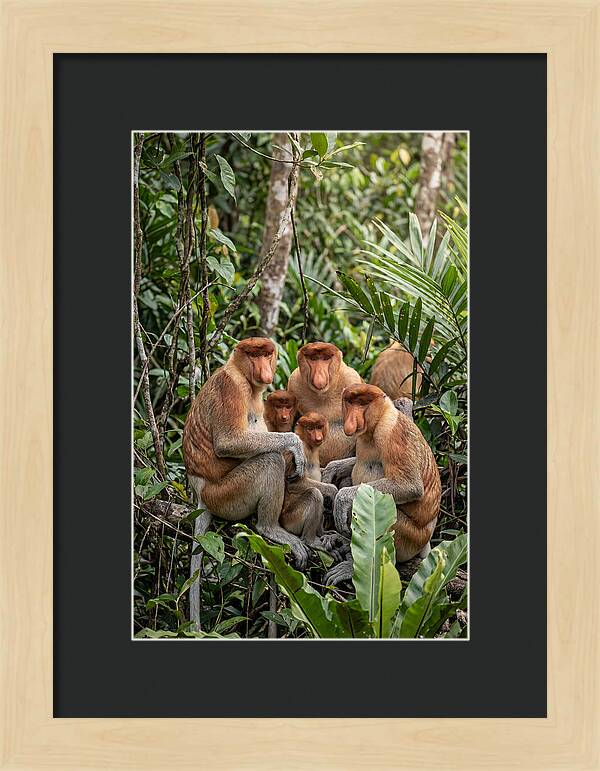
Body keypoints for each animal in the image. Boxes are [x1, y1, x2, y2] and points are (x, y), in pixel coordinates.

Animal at [182, 337, 311, 568]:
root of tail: (200, 490)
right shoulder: (231, 387)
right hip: (225, 496)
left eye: (266, 354)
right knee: (270, 460)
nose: (264, 370)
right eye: (254, 355)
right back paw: (269, 528)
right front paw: (295, 444)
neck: (241, 373)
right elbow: (228, 441)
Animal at [323, 384, 441, 585]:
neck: (378, 421)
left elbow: (410, 486)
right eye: (350, 402)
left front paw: (342, 498)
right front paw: (331, 469)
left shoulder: (391, 433)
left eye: (363, 404)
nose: (352, 420)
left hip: (410, 538)